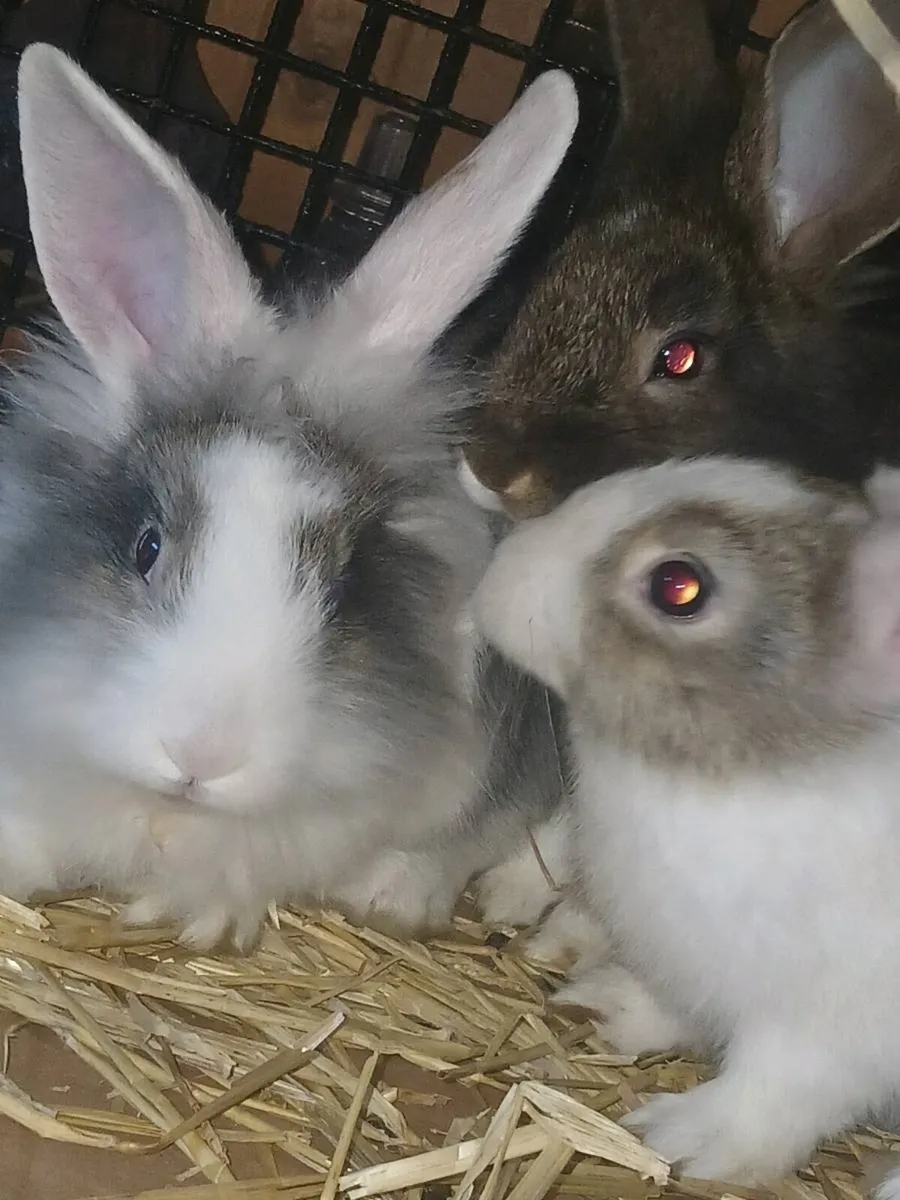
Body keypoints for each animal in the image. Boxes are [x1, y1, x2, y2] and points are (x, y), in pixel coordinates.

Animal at [472, 451, 900, 1188]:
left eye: (678, 586)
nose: (496, 575)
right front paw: (605, 1002)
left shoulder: (829, 1029)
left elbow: (779, 1090)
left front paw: (683, 1140)